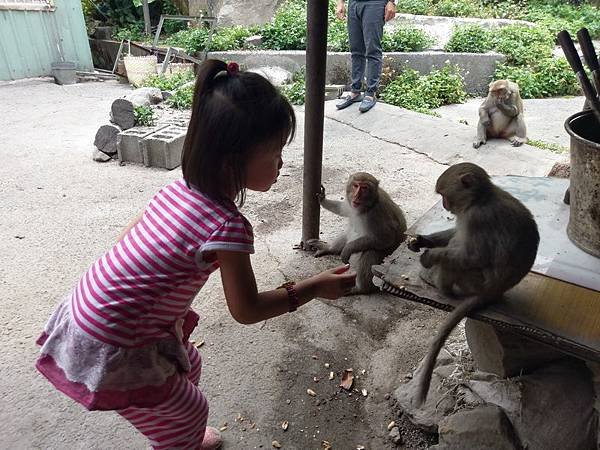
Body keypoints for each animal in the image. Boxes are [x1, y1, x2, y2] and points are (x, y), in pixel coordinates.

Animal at [408, 163, 540, 406]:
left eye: (444, 195)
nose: (444, 204)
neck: (479, 199)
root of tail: (494, 292)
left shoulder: (477, 218)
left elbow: (473, 256)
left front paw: (430, 256)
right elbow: (456, 234)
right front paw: (422, 241)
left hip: (474, 282)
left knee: (456, 262)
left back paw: (439, 286)